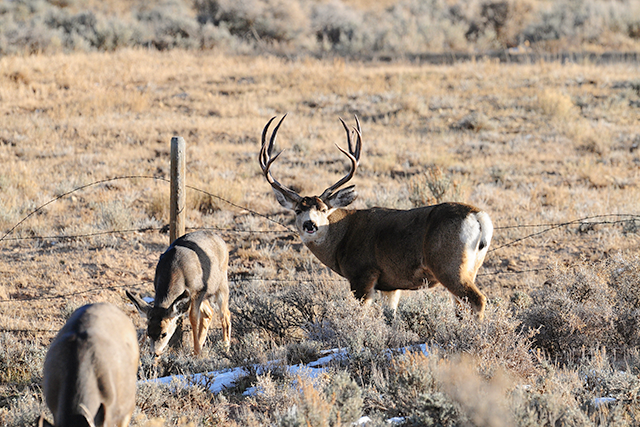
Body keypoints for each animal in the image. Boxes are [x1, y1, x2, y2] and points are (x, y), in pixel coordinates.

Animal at [259, 115, 493, 319]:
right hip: (471, 267)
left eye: (324, 209)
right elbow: (390, 317)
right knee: (462, 306)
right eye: (298, 210)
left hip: (449, 265)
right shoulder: (391, 286)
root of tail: (478, 216)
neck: (342, 237)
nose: (310, 224)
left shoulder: (362, 274)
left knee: (478, 299)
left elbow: (360, 315)